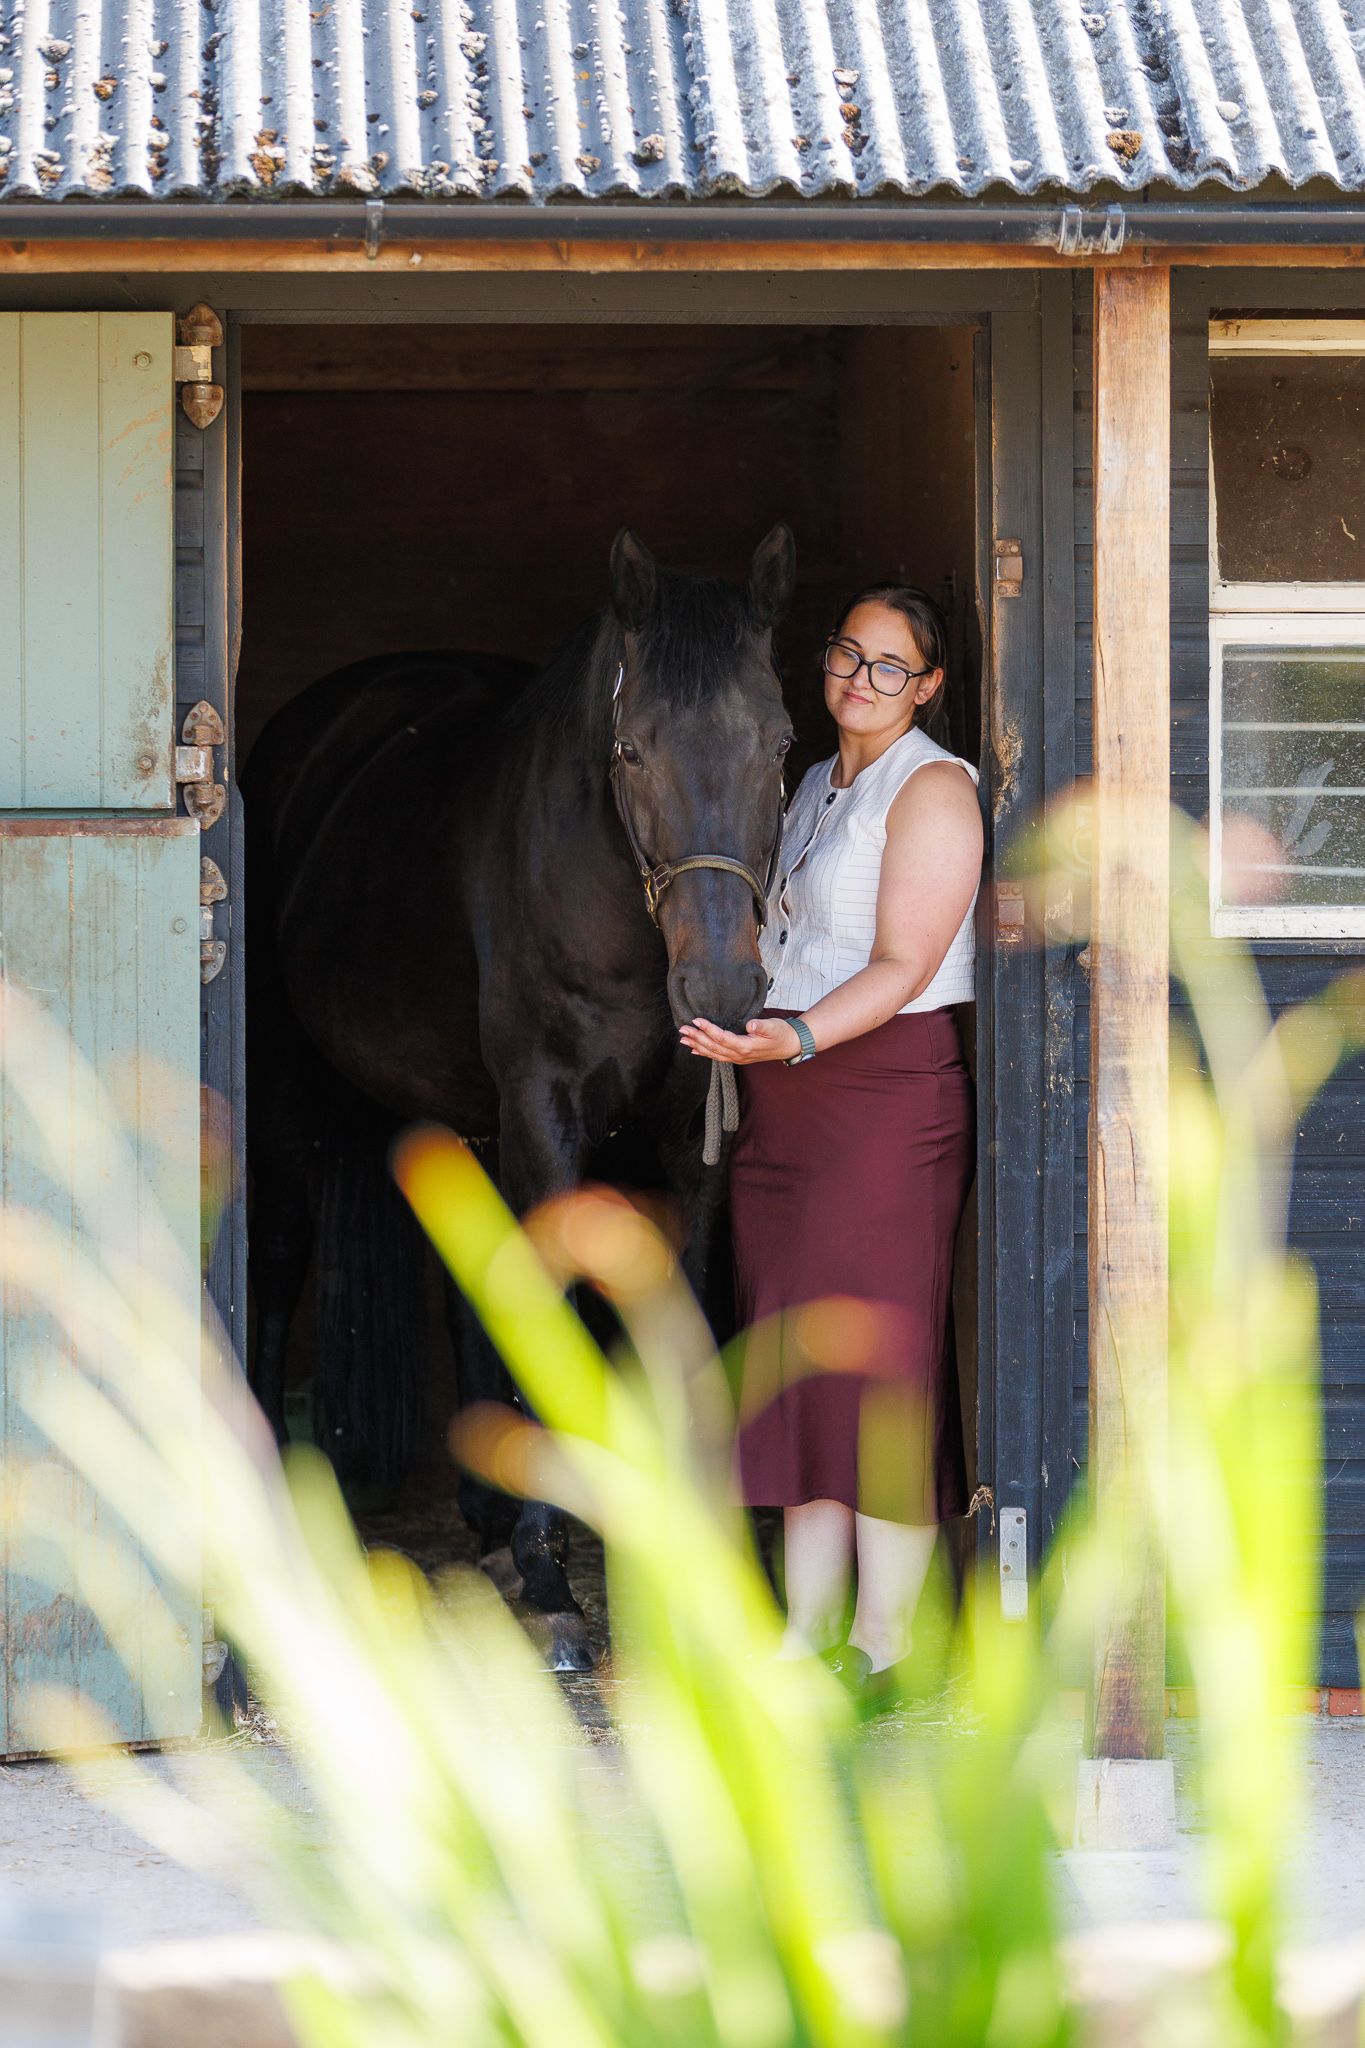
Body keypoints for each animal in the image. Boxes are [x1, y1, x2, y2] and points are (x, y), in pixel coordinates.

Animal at [243, 526, 797, 1668]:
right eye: (631, 750)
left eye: (779, 744)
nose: (723, 987)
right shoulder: (546, 1110)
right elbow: (550, 1297)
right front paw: (552, 1579)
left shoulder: (683, 1144)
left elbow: (674, 1311)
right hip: (285, 1081)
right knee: (276, 1255)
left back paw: (486, 1510)